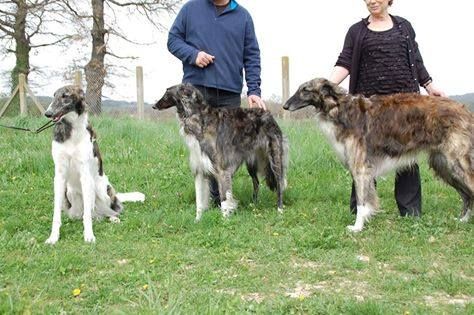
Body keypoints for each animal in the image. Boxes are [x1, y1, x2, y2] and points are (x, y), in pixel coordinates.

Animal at [44, 86, 144, 244]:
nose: (47, 113)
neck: (71, 130)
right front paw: (53, 237)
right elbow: (56, 214)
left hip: (101, 189)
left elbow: (87, 216)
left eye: (65, 96)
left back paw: (113, 218)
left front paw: (89, 235)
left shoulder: (85, 175)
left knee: (106, 211)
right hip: (70, 193)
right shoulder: (59, 176)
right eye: (54, 96)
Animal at [155, 84, 288, 222]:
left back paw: (280, 210)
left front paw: (225, 221)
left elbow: (225, 199)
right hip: (251, 162)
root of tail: (268, 114)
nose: (154, 105)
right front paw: (197, 220)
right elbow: (199, 201)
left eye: (167, 93)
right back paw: (254, 204)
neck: (200, 120)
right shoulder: (199, 170)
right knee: (256, 182)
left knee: (280, 184)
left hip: (275, 158)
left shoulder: (222, 171)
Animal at [286, 78, 474, 232]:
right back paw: (463, 220)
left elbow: (361, 202)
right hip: (443, 165)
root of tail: (466, 112)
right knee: (467, 196)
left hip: (456, 164)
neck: (339, 109)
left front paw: (357, 227)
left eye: (305, 90)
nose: (285, 106)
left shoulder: (360, 167)